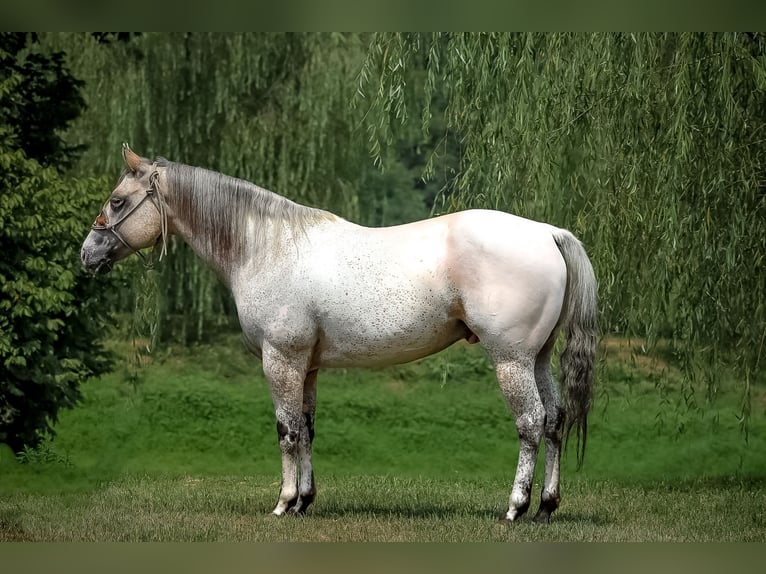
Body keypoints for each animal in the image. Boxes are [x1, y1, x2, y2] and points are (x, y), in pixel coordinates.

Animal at [81, 144, 597, 523]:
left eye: (117, 200)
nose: (88, 254)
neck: (266, 247)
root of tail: (548, 233)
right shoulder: (306, 365)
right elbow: (307, 429)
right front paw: (304, 501)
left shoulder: (281, 359)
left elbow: (286, 430)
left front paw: (283, 503)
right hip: (538, 358)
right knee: (555, 421)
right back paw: (547, 507)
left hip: (511, 360)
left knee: (530, 423)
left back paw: (516, 508)